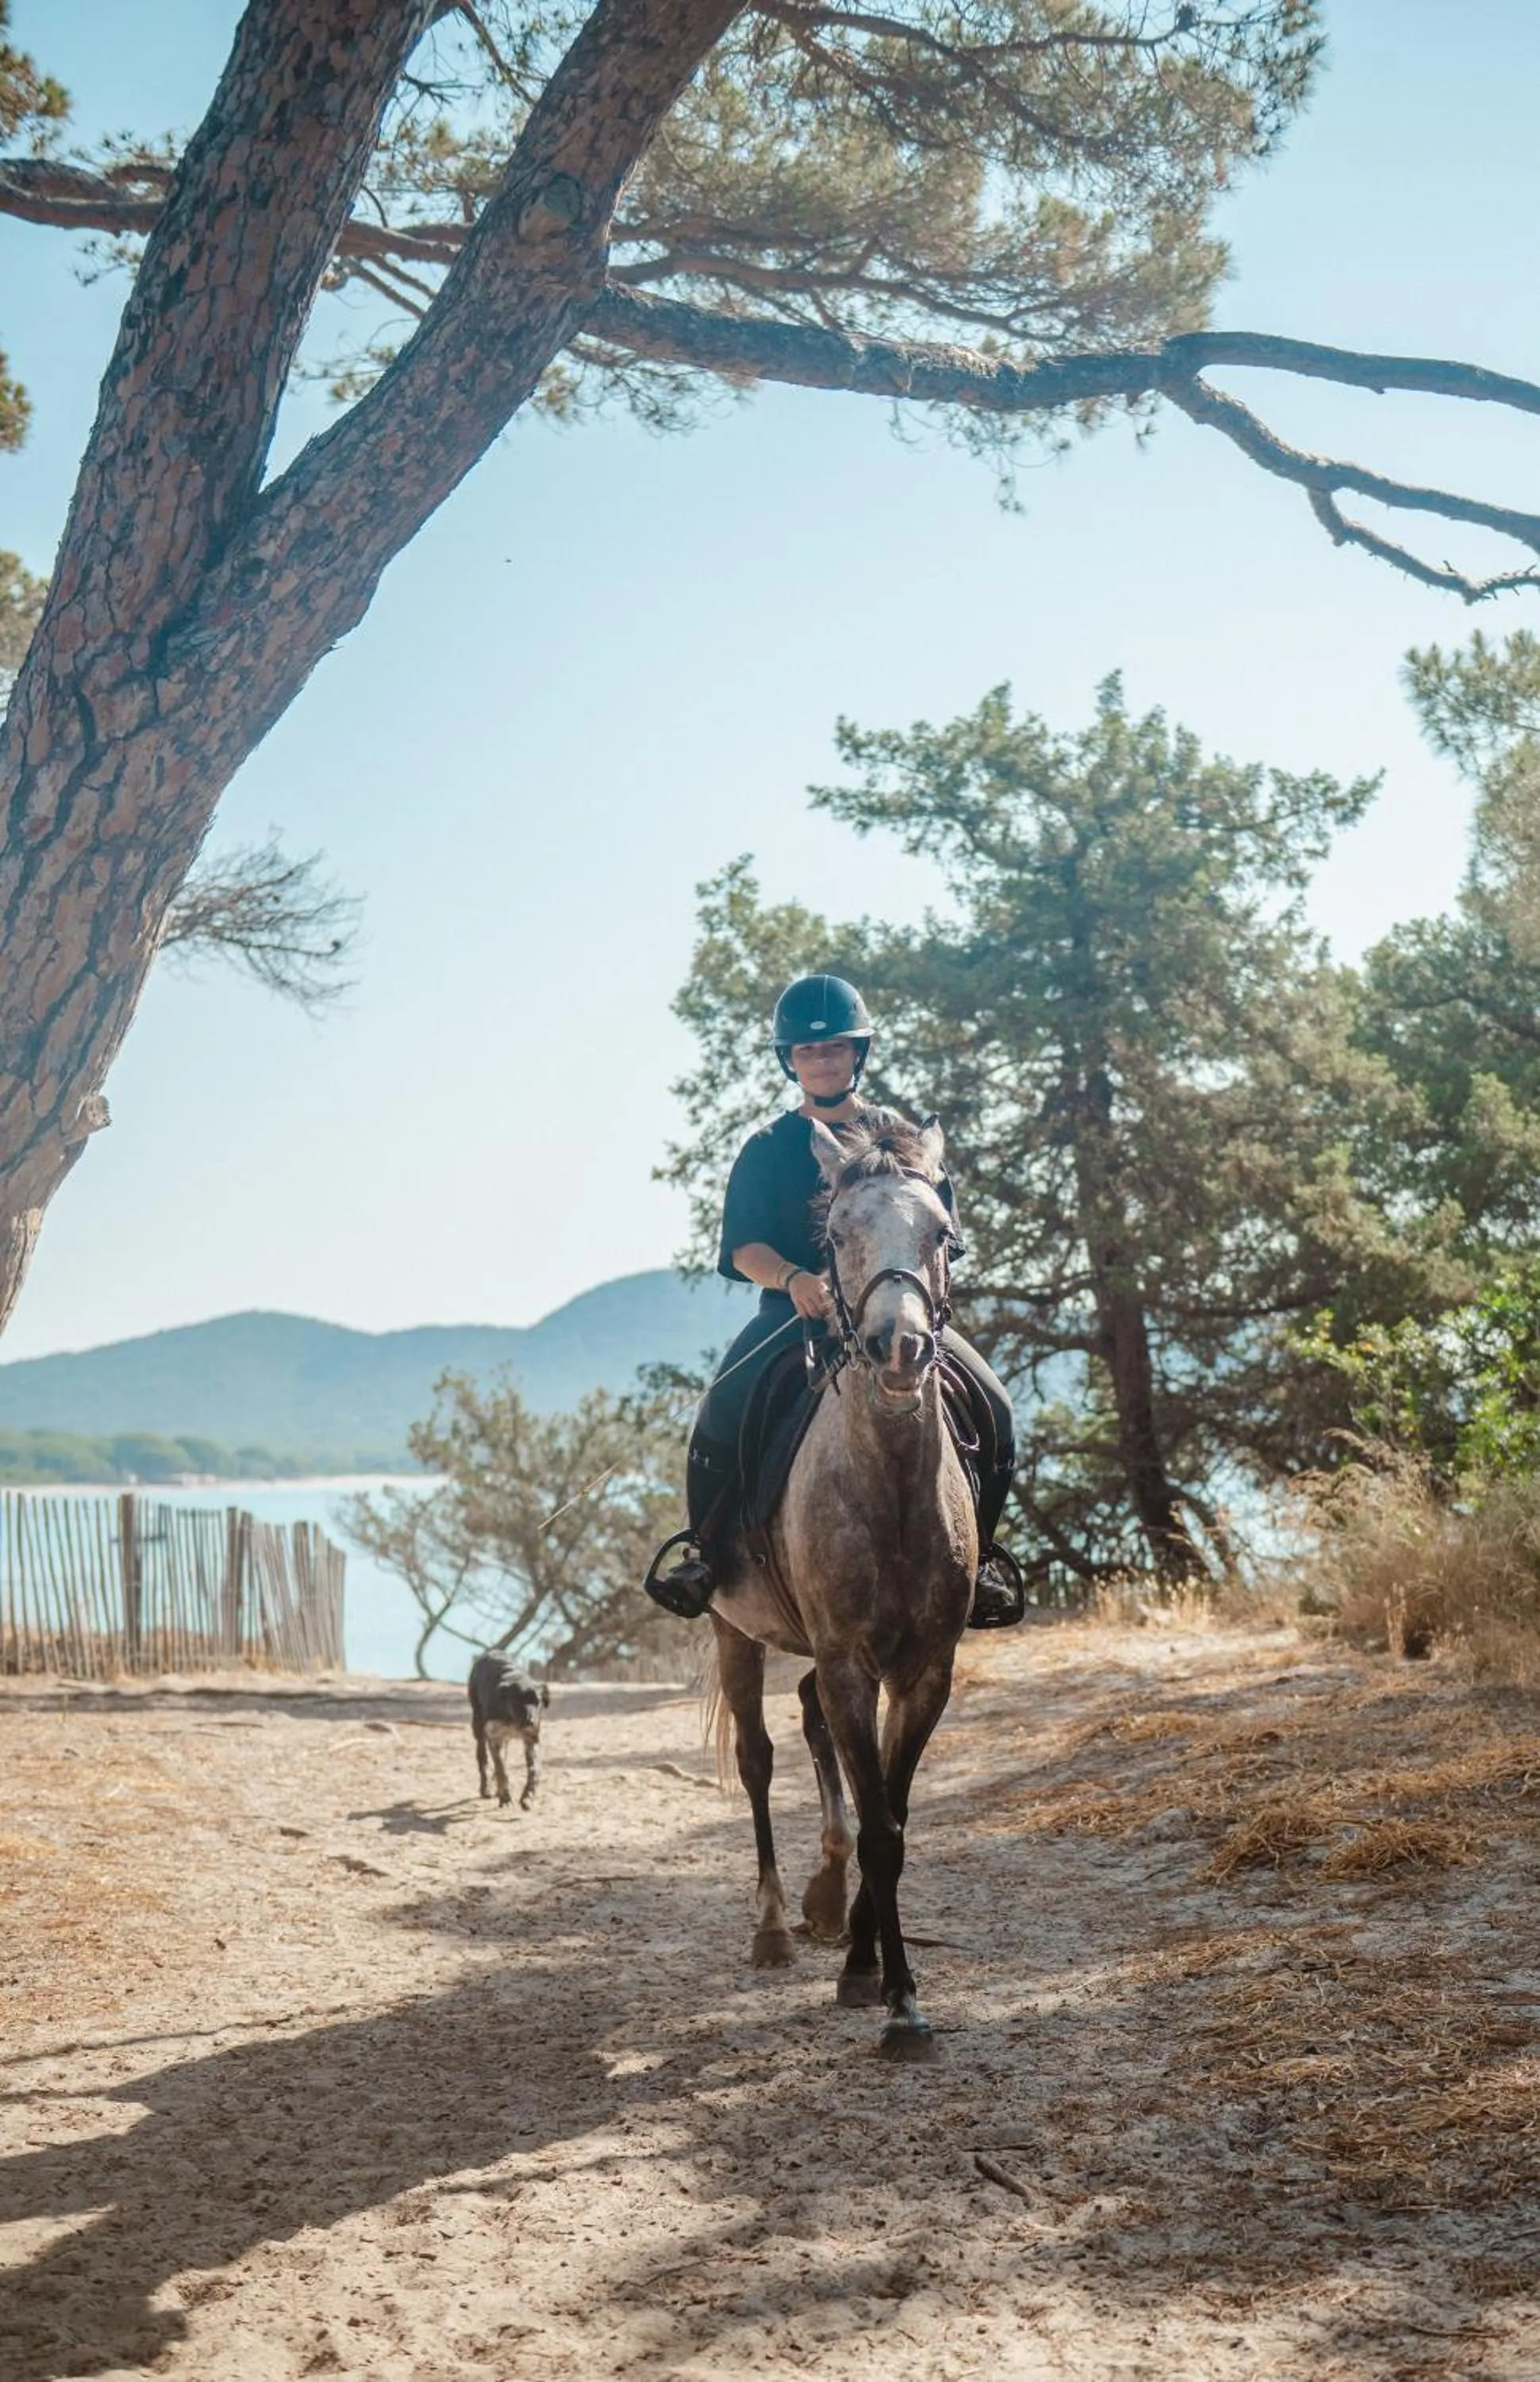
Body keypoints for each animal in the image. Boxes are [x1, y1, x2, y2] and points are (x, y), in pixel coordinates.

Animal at [707, 1115, 976, 2061]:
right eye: (835, 1235)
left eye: (942, 1235)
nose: (900, 1348)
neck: (889, 1485)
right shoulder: (853, 1666)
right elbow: (878, 1824)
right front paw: (899, 2003)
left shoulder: (923, 1671)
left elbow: (889, 1816)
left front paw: (870, 1969)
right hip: (733, 1633)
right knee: (758, 1758)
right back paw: (772, 1927)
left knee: (809, 1723)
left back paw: (824, 1901)